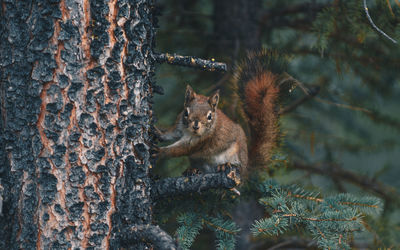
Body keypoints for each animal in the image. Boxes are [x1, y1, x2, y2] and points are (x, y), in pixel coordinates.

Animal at [156, 49, 288, 176]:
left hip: (236, 157)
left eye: (209, 116)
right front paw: (158, 133)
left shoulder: (201, 141)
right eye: (186, 113)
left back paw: (225, 166)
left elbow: (180, 149)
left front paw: (159, 151)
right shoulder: (179, 126)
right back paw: (192, 170)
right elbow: (171, 133)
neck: (189, 131)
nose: (195, 126)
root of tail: (246, 169)